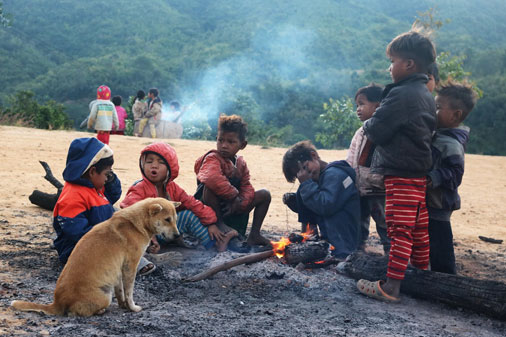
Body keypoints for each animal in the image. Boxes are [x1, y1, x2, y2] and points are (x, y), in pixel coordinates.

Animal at [10, 197, 182, 316]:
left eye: (175, 219)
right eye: (167, 219)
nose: (178, 235)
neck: (136, 223)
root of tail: (57, 303)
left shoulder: (118, 270)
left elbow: (121, 292)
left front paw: (123, 306)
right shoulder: (130, 266)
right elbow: (129, 292)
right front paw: (133, 308)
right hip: (105, 295)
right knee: (75, 312)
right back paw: (99, 311)